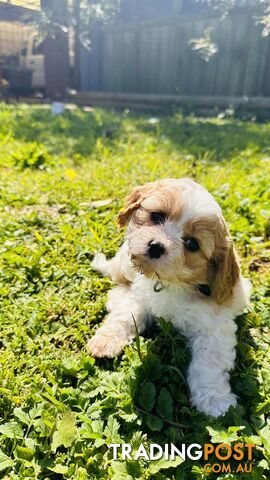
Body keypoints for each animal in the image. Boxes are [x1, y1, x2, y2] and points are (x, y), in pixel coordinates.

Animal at [88, 179, 251, 416]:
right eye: (157, 216)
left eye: (192, 244)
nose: (156, 246)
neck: (169, 282)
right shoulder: (139, 295)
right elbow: (125, 315)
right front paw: (106, 340)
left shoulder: (214, 325)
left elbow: (209, 361)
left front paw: (215, 400)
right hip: (124, 263)